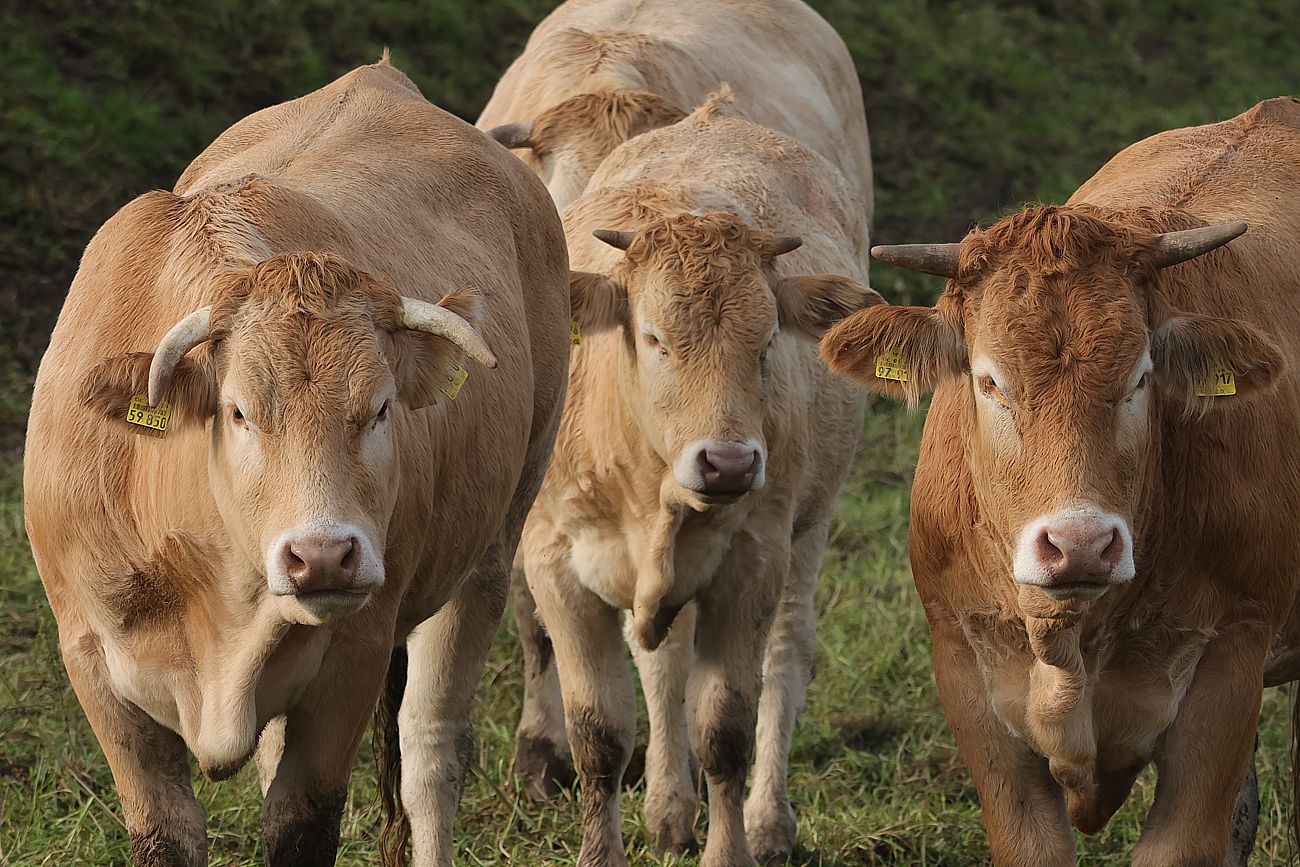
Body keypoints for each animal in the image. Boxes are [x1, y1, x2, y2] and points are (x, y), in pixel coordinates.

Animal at [525, 91, 883, 863]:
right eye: (655, 337)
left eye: (769, 339)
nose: (729, 461)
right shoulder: (555, 569)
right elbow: (599, 734)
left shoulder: (749, 567)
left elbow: (724, 731)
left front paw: (731, 845)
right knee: (662, 664)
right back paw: (667, 807)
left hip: (807, 529)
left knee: (786, 652)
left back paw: (769, 821)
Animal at [816, 96, 1300, 867]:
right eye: (989, 380)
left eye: (1141, 376)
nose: (1078, 544)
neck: (1073, 641)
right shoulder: (965, 673)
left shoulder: (1231, 665)